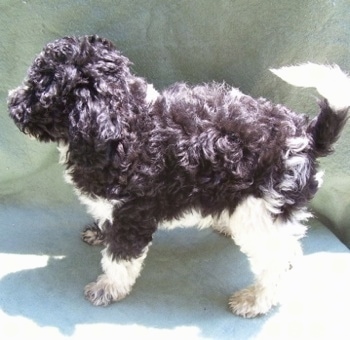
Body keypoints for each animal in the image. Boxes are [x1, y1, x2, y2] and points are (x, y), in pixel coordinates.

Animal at [8, 35, 350, 318]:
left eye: (38, 88)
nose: (11, 102)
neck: (125, 123)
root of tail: (305, 136)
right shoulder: (116, 208)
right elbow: (107, 224)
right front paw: (99, 233)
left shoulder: (133, 215)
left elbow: (120, 258)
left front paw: (107, 288)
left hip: (264, 213)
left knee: (277, 263)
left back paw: (254, 300)